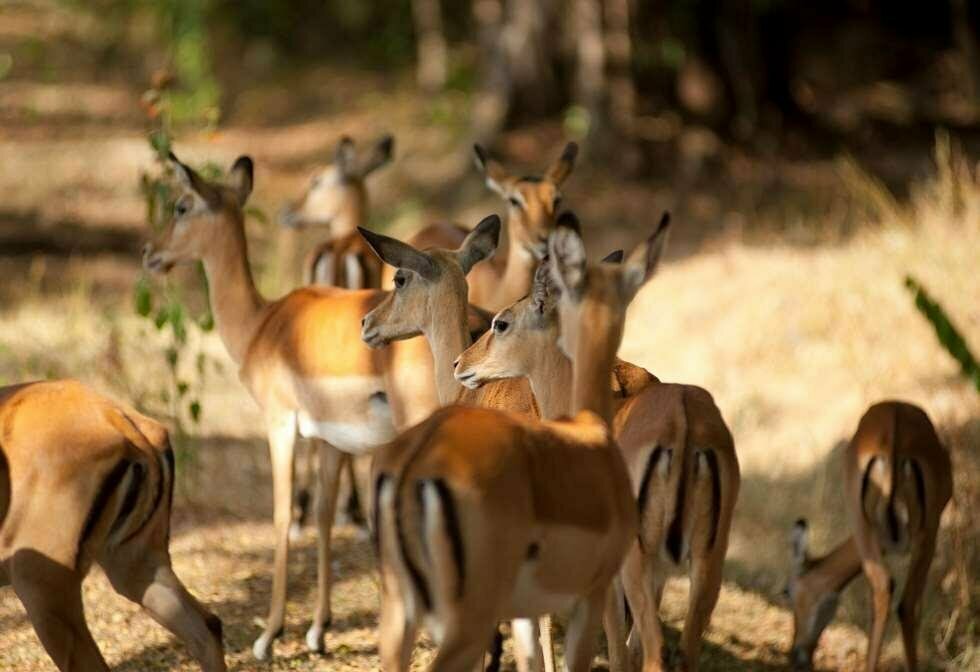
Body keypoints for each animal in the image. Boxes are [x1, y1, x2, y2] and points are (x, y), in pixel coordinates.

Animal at [142, 151, 452, 660]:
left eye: (182, 206)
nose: (151, 253)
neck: (262, 323)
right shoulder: (330, 439)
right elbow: (323, 515)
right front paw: (318, 629)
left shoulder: (281, 425)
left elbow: (284, 515)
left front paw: (269, 635)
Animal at [785, 401, 952, 671]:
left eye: (786, 593)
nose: (796, 654)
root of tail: (894, 434)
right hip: (924, 533)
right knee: (904, 602)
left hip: (871, 525)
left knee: (892, 592)